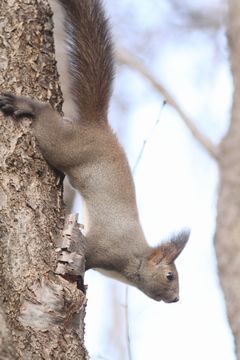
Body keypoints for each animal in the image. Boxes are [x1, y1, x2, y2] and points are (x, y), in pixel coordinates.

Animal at [0, 0, 189, 302]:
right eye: (170, 276)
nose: (176, 299)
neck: (136, 259)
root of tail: (98, 126)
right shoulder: (106, 250)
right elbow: (87, 253)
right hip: (63, 146)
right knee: (47, 120)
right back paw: (28, 105)